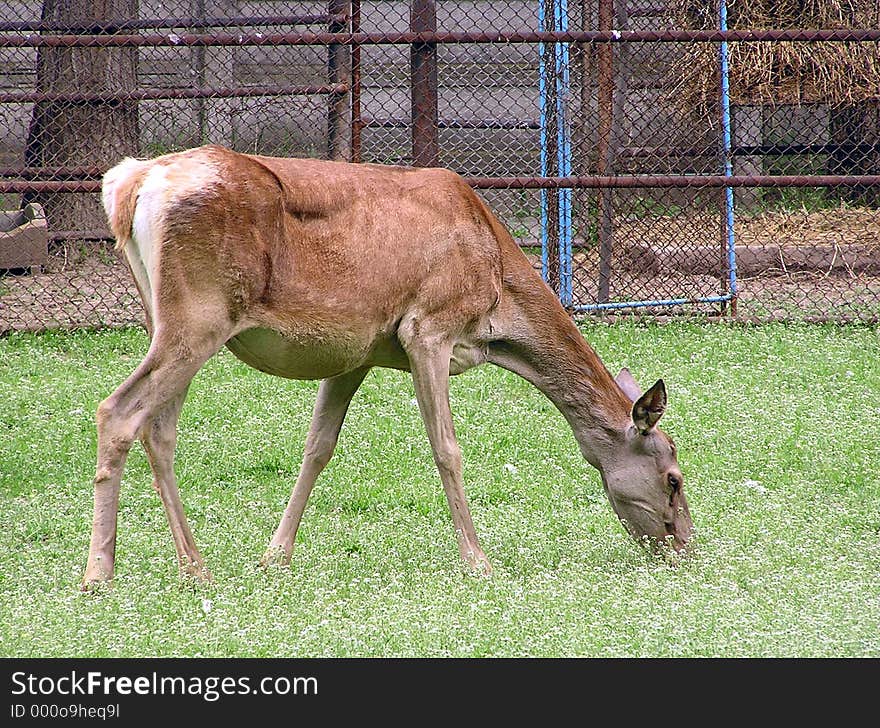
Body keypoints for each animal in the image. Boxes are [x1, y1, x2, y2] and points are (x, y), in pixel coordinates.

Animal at [87, 145, 696, 588]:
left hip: (164, 317)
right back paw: (100, 573)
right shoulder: (428, 328)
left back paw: (193, 566)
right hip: (200, 315)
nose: (685, 545)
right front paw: (479, 561)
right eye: (673, 477)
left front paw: (275, 556)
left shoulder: (355, 350)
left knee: (159, 430)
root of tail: (129, 184)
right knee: (118, 410)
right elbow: (446, 448)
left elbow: (317, 447)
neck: (497, 306)